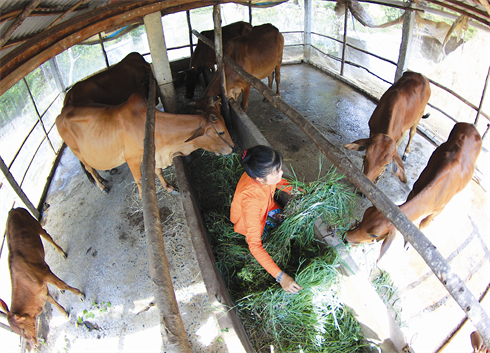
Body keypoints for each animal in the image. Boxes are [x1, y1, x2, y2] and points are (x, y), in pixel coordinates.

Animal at [0, 206, 84, 346]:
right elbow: (51, 299)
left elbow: (63, 285)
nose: (34, 344)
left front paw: (80, 294)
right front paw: (64, 313)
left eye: (22, 330)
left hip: (36, 225)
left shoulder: (45, 272)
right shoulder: (41, 291)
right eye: (17, 333)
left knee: (48, 236)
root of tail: (14, 209)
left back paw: (62, 252)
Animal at [344, 123, 482, 258]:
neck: (434, 193)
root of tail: (472, 126)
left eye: (374, 235)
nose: (346, 238)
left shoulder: (438, 210)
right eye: (365, 214)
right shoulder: (414, 191)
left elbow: (423, 225)